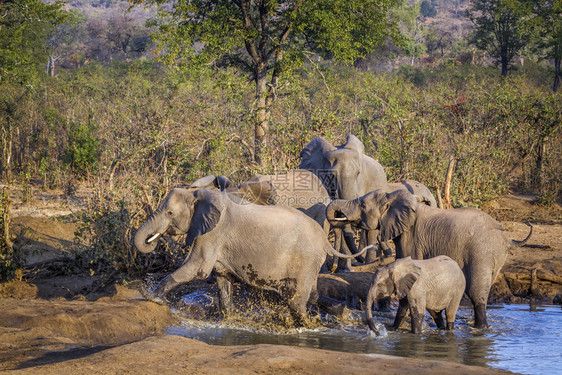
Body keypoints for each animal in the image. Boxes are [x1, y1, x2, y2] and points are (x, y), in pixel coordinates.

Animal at [133, 189, 366, 324]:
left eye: (170, 214)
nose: (154, 239)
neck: (197, 194)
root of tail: (324, 239)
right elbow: (223, 278)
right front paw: (228, 319)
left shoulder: (214, 231)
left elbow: (197, 269)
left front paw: (152, 296)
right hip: (311, 262)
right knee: (312, 293)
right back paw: (343, 313)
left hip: (306, 259)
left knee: (296, 300)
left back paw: (307, 325)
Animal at [324, 191, 528, 328]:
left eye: (363, 206)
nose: (339, 215)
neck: (393, 197)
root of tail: (507, 238)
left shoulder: (411, 237)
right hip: (495, 257)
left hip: (481, 252)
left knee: (476, 292)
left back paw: (480, 328)